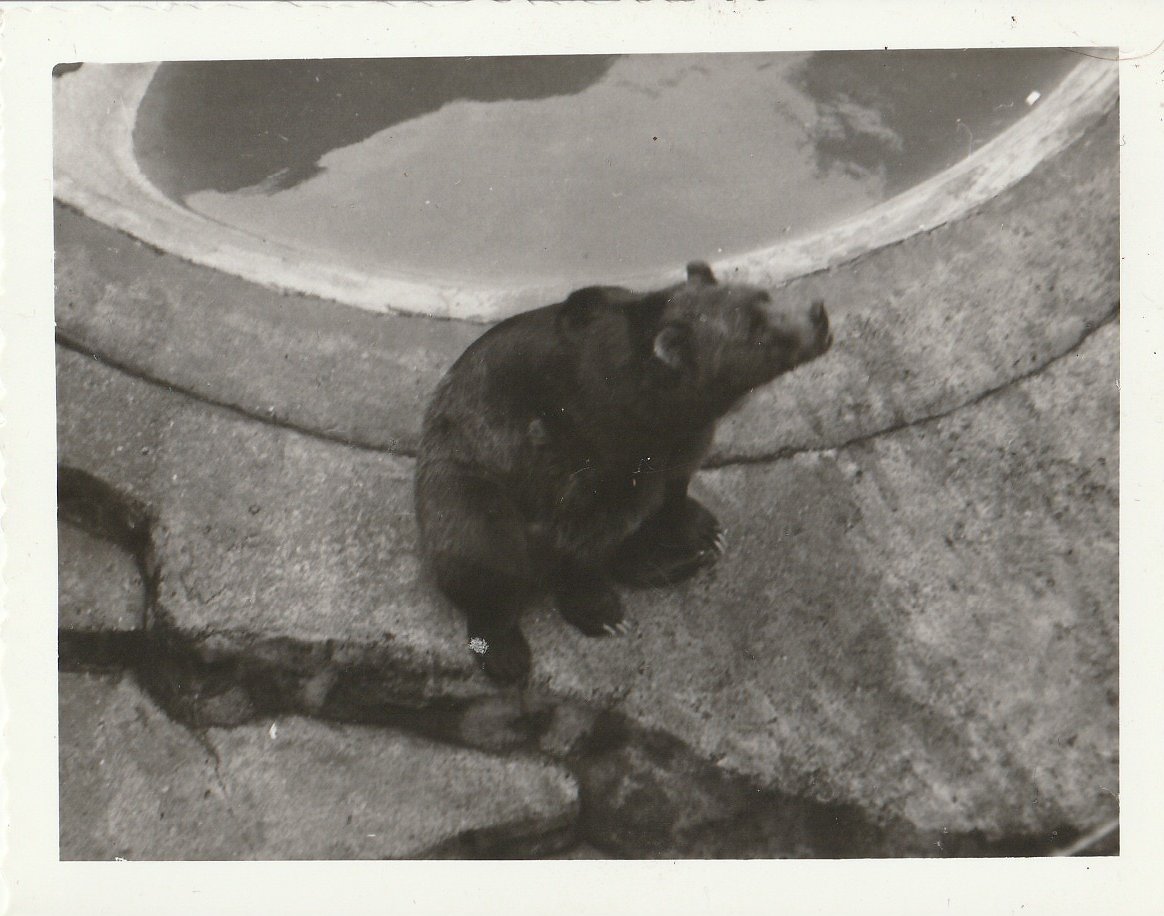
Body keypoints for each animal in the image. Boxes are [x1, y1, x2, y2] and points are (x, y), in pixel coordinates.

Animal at [415, 261, 832, 684]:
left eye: (765, 296)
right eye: (755, 327)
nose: (818, 315)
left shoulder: (680, 439)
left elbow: (673, 486)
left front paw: (703, 529)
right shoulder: (576, 445)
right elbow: (578, 534)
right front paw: (602, 612)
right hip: (463, 474)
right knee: (484, 541)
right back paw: (503, 647)